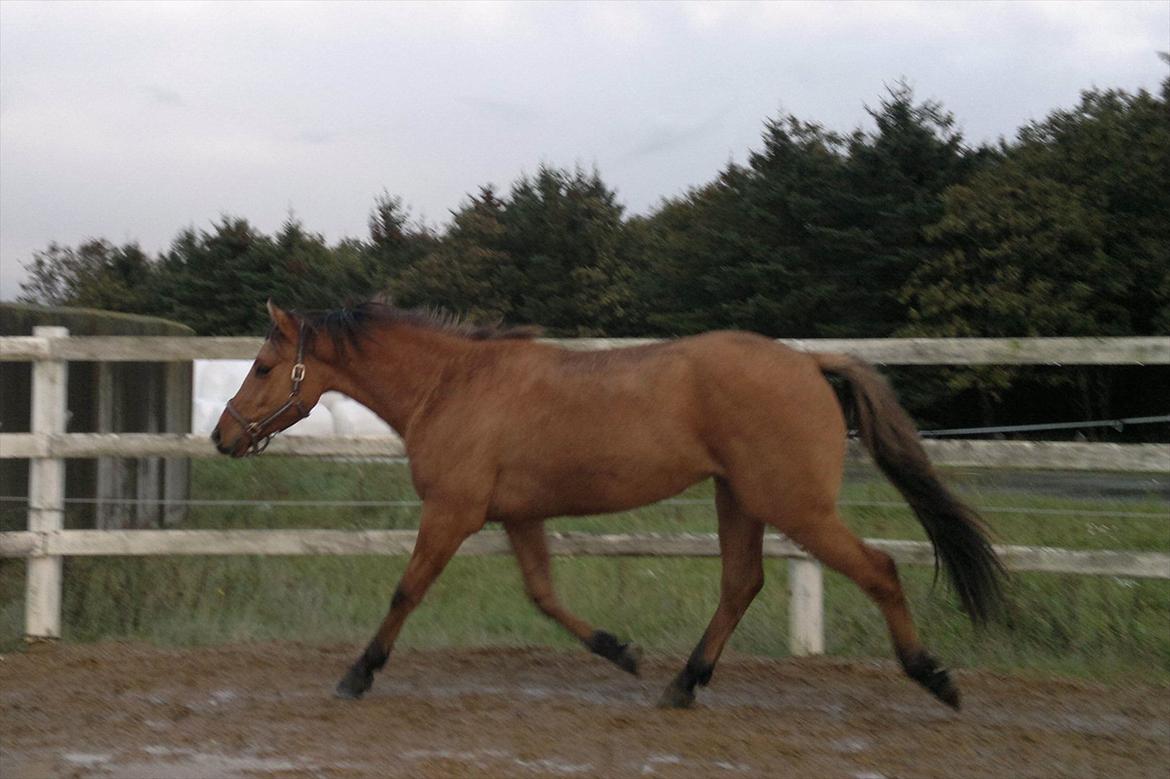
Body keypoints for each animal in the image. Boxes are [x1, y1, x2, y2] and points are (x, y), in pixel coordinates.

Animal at [213, 300, 1004, 710]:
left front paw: (357, 674)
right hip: (740, 498)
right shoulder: (518, 515)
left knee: (878, 569)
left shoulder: (453, 511)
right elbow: (543, 594)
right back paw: (682, 683)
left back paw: (935, 677)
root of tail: (809, 361)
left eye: (263, 366)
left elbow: (406, 590)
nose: (222, 436)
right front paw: (620, 650)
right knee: (740, 583)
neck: (453, 385)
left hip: (795, 505)